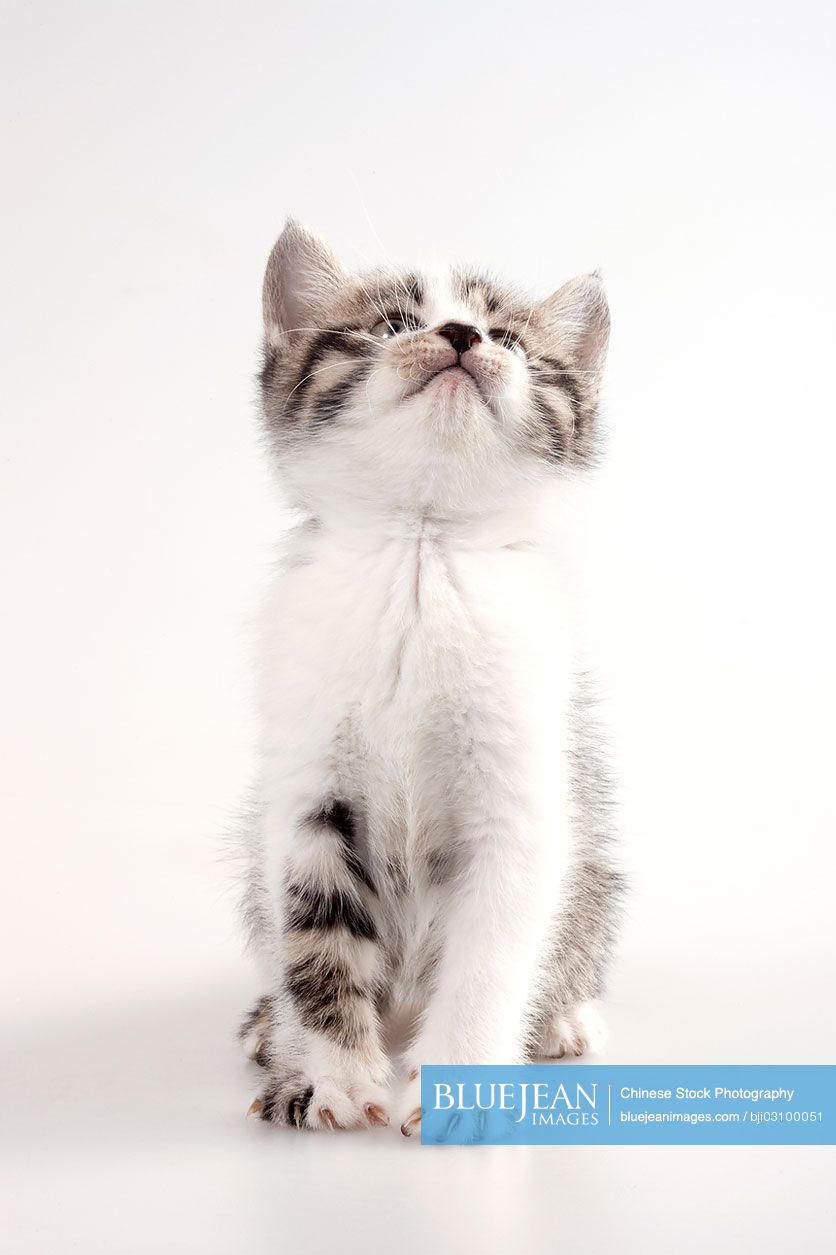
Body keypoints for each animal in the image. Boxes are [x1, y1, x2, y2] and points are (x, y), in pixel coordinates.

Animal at [237, 225, 622, 1139]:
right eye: (393, 325)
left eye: (508, 337)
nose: (460, 336)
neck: (420, 546)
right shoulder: (303, 795)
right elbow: (313, 935)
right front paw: (337, 1078)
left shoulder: (521, 802)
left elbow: (492, 955)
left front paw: (465, 1088)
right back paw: (278, 1036)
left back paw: (565, 1017)